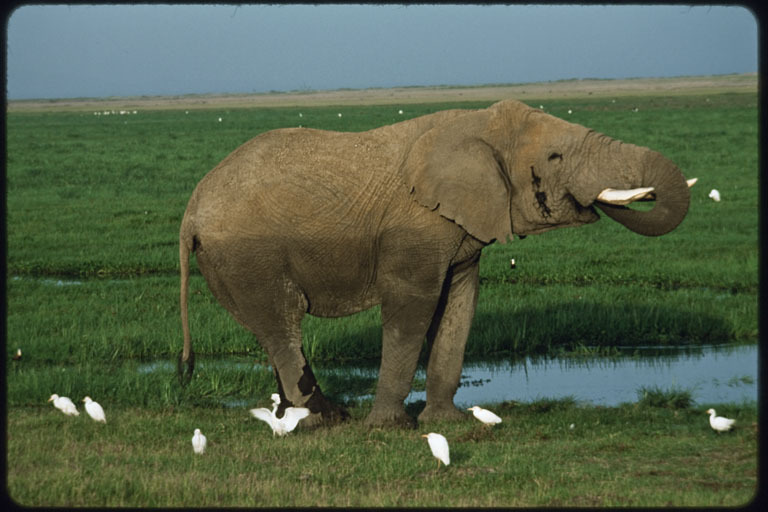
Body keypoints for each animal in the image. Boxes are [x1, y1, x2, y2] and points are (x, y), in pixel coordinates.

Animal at [182, 98, 696, 426]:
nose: (599, 200)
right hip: (249, 254)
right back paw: (321, 423)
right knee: (283, 324)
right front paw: (390, 428)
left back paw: (305, 417)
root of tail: (191, 207)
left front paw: (449, 422)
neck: (477, 124)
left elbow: (459, 305)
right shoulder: (416, 227)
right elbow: (413, 308)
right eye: (555, 157)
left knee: (271, 331)